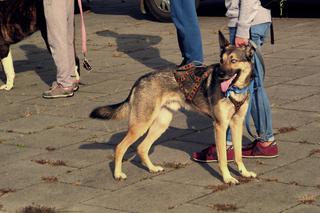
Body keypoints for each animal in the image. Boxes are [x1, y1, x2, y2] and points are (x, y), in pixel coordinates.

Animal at [90, 31, 258, 185]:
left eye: (233, 60)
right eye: (221, 60)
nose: (220, 74)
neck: (235, 91)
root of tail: (140, 80)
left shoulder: (237, 123)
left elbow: (238, 154)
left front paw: (244, 172)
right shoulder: (220, 126)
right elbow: (222, 157)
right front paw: (228, 178)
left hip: (161, 124)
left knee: (142, 148)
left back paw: (152, 169)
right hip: (141, 125)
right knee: (120, 147)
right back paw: (118, 174)